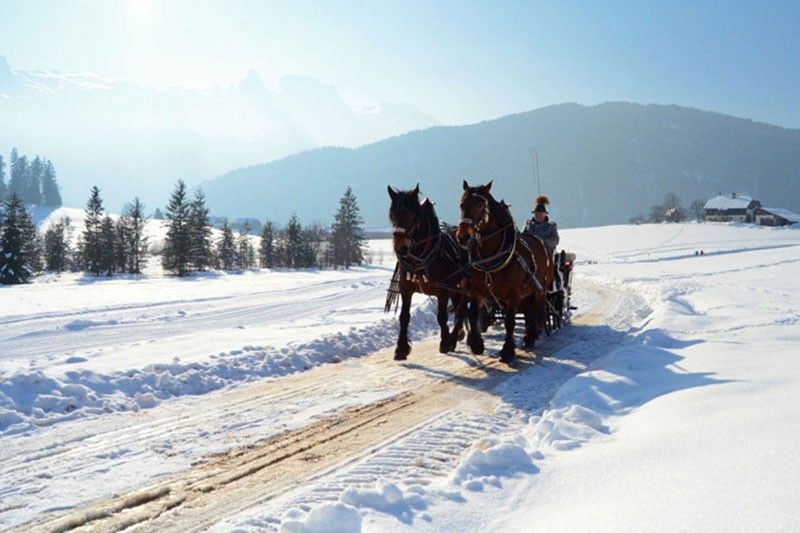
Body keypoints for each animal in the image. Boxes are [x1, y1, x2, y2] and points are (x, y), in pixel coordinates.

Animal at [388, 184, 468, 362]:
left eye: (411, 214)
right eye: (392, 214)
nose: (400, 247)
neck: (422, 256)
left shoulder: (443, 289)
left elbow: (442, 316)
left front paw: (445, 342)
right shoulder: (405, 288)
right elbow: (404, 317)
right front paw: (401, 349)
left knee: (461, 308)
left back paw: (453, 337)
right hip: (455, 287)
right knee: (458, 305)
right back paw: (458, 334)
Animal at [456, 181, 552, 364]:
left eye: (481, 205)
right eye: (461, 204)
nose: (463, 237)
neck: (492, 255)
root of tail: (539, 241)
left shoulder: (513, 294)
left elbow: (509, 321)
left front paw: (507, 351)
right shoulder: (476, 290)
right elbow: (473, 314)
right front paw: (476, 344)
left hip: (538, 289)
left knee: (536, 310)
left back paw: (531, 336)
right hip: (526, 293)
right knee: (529, 312)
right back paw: (529, 337)